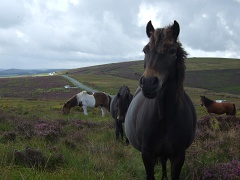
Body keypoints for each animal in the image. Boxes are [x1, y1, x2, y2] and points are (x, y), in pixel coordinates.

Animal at [124, 20, 196, 179]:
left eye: (172, 51)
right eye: (145, 50)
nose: (148, 83)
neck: (165, 116)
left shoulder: (178, 157)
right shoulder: (147, 155)